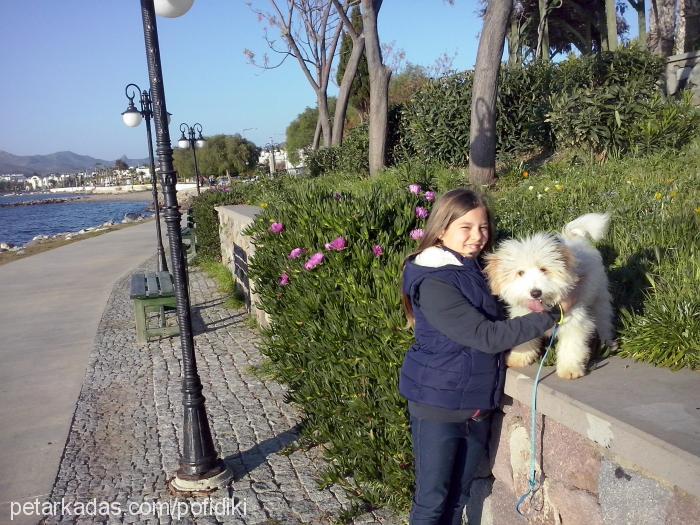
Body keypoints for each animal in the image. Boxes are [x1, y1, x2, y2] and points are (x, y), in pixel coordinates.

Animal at [484, 214, 616, 380]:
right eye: (520, 273)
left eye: (543, 269)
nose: (535, 293)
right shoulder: (524, 317)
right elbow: (523, 339)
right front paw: (519, 358)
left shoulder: (575, 320)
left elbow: (572, 345)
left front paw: (570, 369)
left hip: (599, 297)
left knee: (603, 319)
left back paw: (607, 342)